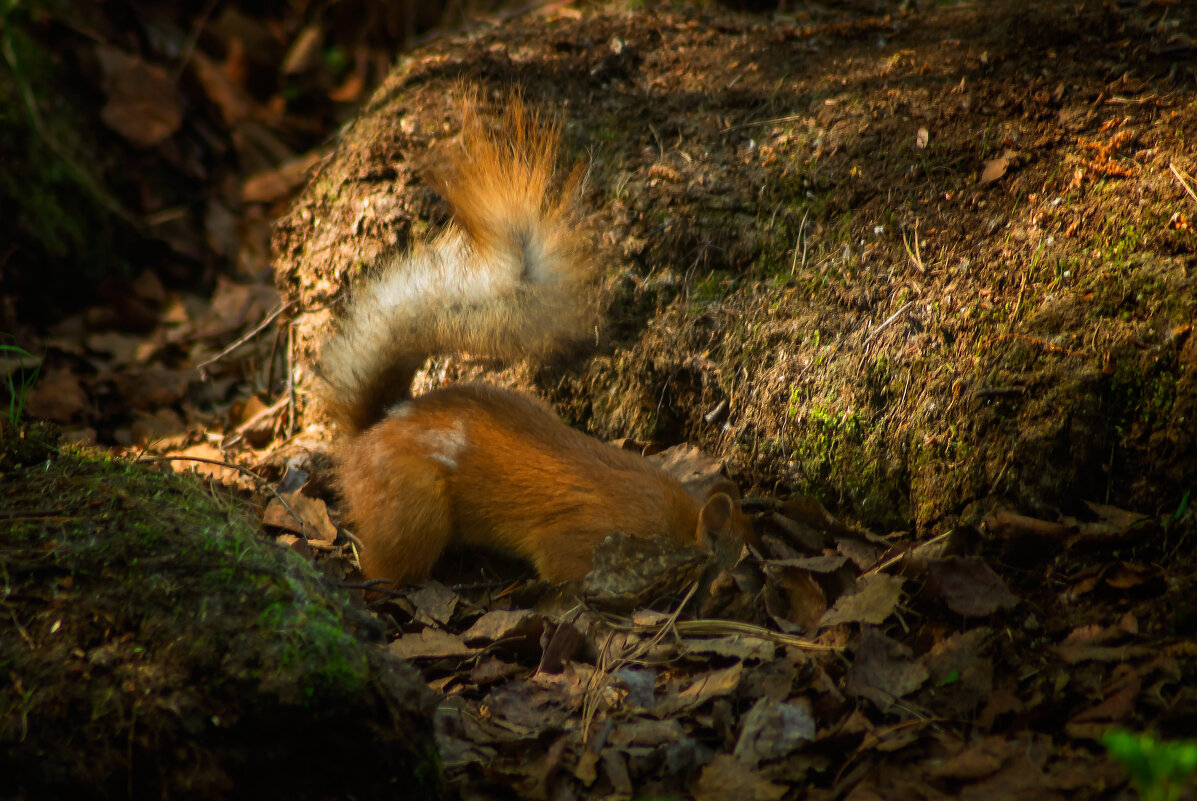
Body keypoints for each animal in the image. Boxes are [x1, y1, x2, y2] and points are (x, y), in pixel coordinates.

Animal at [318, 101, 746, 586]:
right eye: (735, 557)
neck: (669, 516)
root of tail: (370, 432)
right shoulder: (579, 541)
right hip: (414, 511)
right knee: (385, 562)